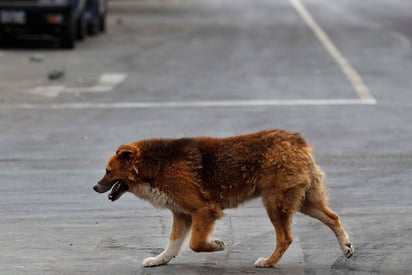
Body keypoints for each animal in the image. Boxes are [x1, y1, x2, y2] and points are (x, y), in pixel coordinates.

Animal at [94, 130, 354, 270]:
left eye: (108, 171)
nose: (94, 187)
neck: (154, 165)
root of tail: (296, 140)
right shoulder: (182, 215)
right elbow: (173, 244)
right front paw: (160, 260)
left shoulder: (203, 210)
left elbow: (195, 243)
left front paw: (217, 245)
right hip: (304, 202)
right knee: (333, 218)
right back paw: (346, 247)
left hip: (274, 203)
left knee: (286, 238)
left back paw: (269, 262)